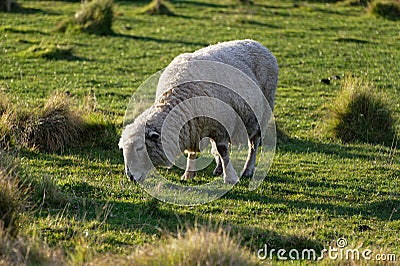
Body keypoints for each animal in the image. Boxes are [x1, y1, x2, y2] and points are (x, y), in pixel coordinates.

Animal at [119, 39, 278, 185]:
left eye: (140, 148)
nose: (130, 177)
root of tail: (257, 43)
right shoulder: (193, 128)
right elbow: (193, 152)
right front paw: (188, 174)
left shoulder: (218, 126)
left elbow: (223, 151)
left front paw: (230, 178)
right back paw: (219, 168)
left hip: (260, 115)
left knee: (254, 144)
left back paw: (247, 170)